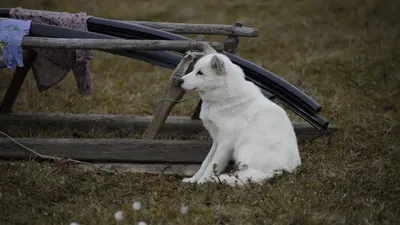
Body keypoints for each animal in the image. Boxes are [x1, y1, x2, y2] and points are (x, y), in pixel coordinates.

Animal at [178, 53, 300, 186]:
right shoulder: (217, 140)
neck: (224, 97)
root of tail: (279, 171)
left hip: (245, 145)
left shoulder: (225, 143)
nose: (179, 80)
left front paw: (201, 183)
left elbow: (212, 166)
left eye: (200, 73)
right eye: (194, 69)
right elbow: (205, 163)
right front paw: (192, 180)